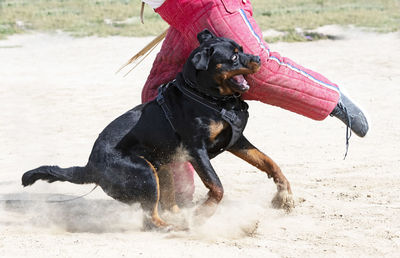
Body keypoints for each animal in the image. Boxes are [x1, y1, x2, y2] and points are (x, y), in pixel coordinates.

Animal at [21, 29, 294, 228]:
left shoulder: (236, 140)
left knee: (165, 204)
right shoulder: (196, 150)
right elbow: (217, 186)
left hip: (161, 167)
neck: (209, 98)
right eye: (234, 57)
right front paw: (204, 212)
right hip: (144, 172)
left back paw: (178, 218)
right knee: (149, 216)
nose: (257, 58)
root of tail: (90, 167)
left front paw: (285, 195)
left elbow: (269, 162)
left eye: (243, 49)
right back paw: (172, 227)